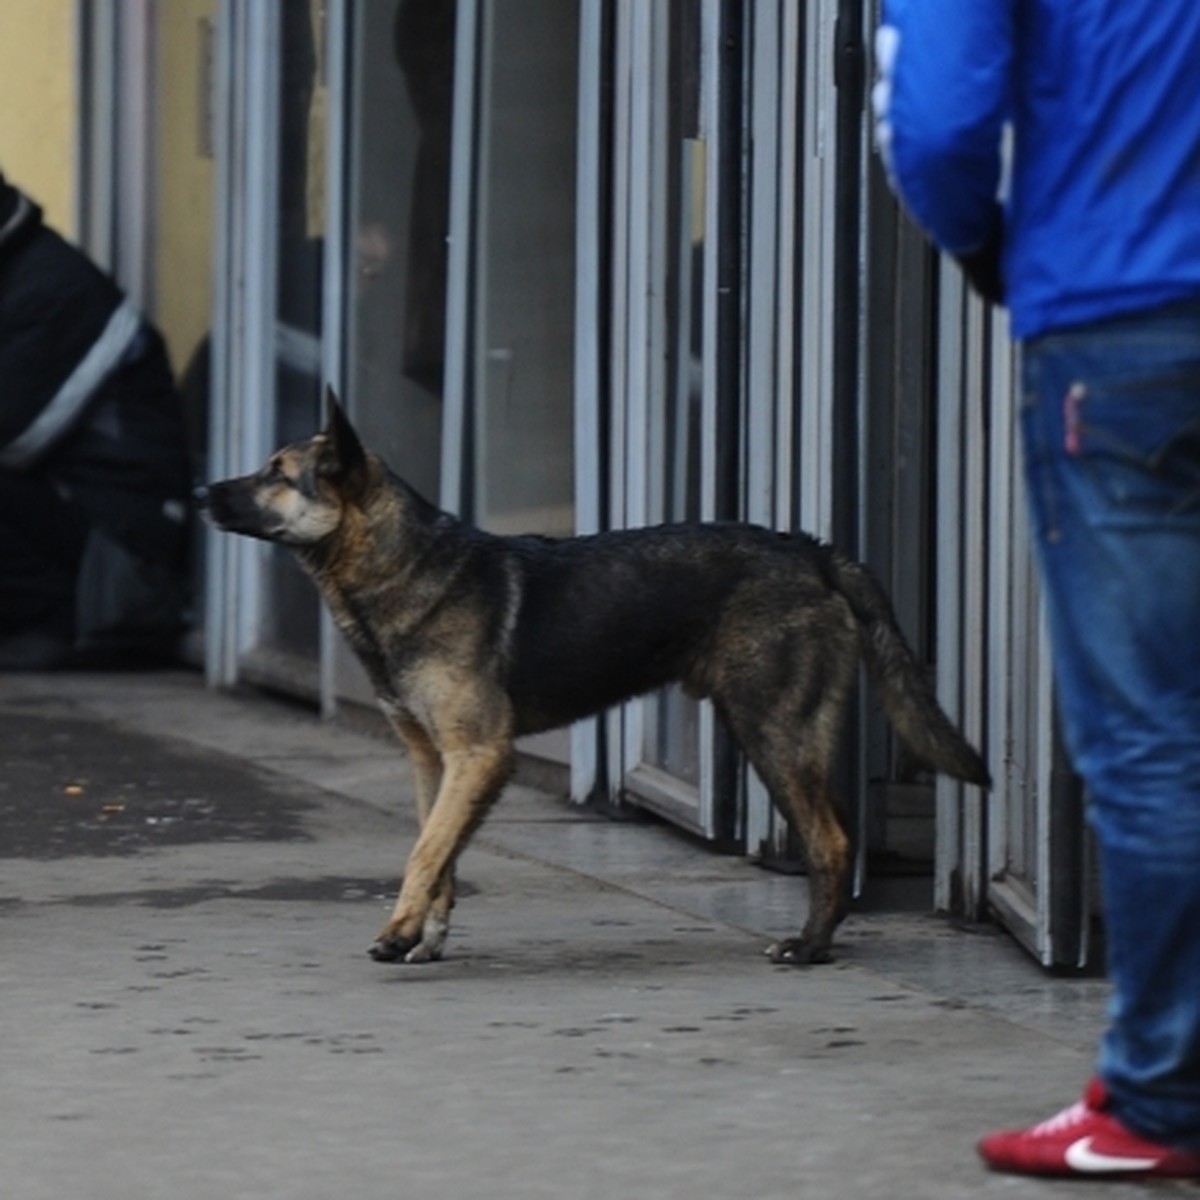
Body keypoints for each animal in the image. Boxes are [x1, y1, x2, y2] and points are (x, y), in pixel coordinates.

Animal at [201, 393, 988, 964]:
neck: (401, 565)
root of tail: (813, 551)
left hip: (772, 733)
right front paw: (426, 936)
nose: (202, 490)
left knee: (831, 841)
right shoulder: (436, 761)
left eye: (277, 473)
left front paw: (399, 932)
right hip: (781, 736)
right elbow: (440, 850)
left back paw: (811, 947)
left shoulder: (479, 755)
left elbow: (424, 850)